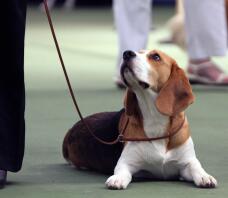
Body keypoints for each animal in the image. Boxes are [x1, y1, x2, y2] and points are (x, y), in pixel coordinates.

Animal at [62, 49, 217, 189]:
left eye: (156, 57)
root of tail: (71, 129)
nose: (127, 53)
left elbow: (195, 166)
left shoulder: (186, 162)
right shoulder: (127, 162)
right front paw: (117, 179)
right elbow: (123, 172)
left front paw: (205, 176)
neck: (154, 118)